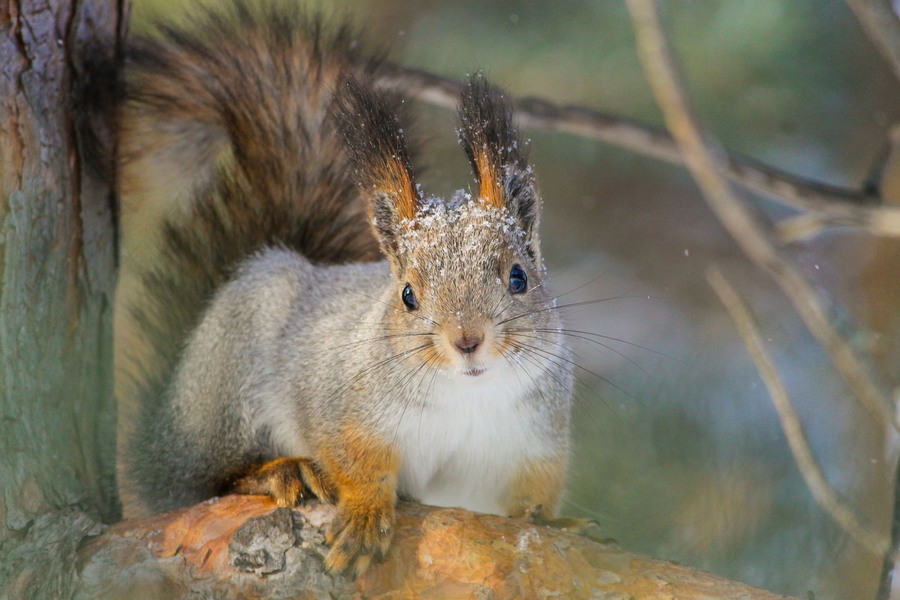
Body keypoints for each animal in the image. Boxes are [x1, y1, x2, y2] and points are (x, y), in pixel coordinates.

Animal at [114, 2, 576, 580]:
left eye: (519, 277)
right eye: (407, 295)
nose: (467, 340)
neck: (466, 396)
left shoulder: (535, 445)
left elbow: (531, 496)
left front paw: (549, 520)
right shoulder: (341, 407)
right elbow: (356, 464)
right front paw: (363, 515)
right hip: (227, 377)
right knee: (199, 479)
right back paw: (277, 472)